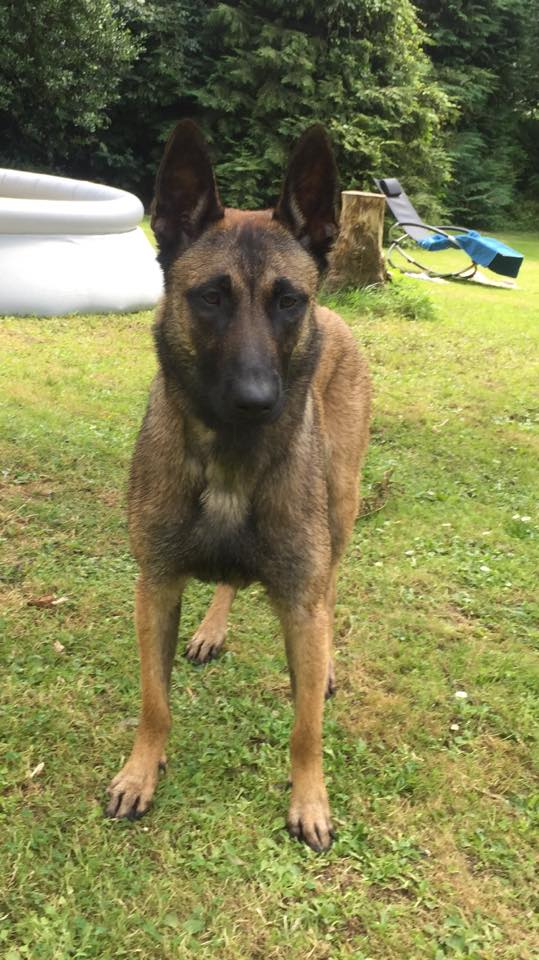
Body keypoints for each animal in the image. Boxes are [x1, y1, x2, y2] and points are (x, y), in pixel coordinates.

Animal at [106, 121, 371, 851]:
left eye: (287, 301)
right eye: (210, 297)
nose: (256, 402)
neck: (229, 459)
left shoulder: (300, 601)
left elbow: (305, 726)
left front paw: (310, 801)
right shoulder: (156, 586)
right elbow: (154, 702)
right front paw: (141, 771)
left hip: (341, 510)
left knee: (331, 587)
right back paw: (213, 627)